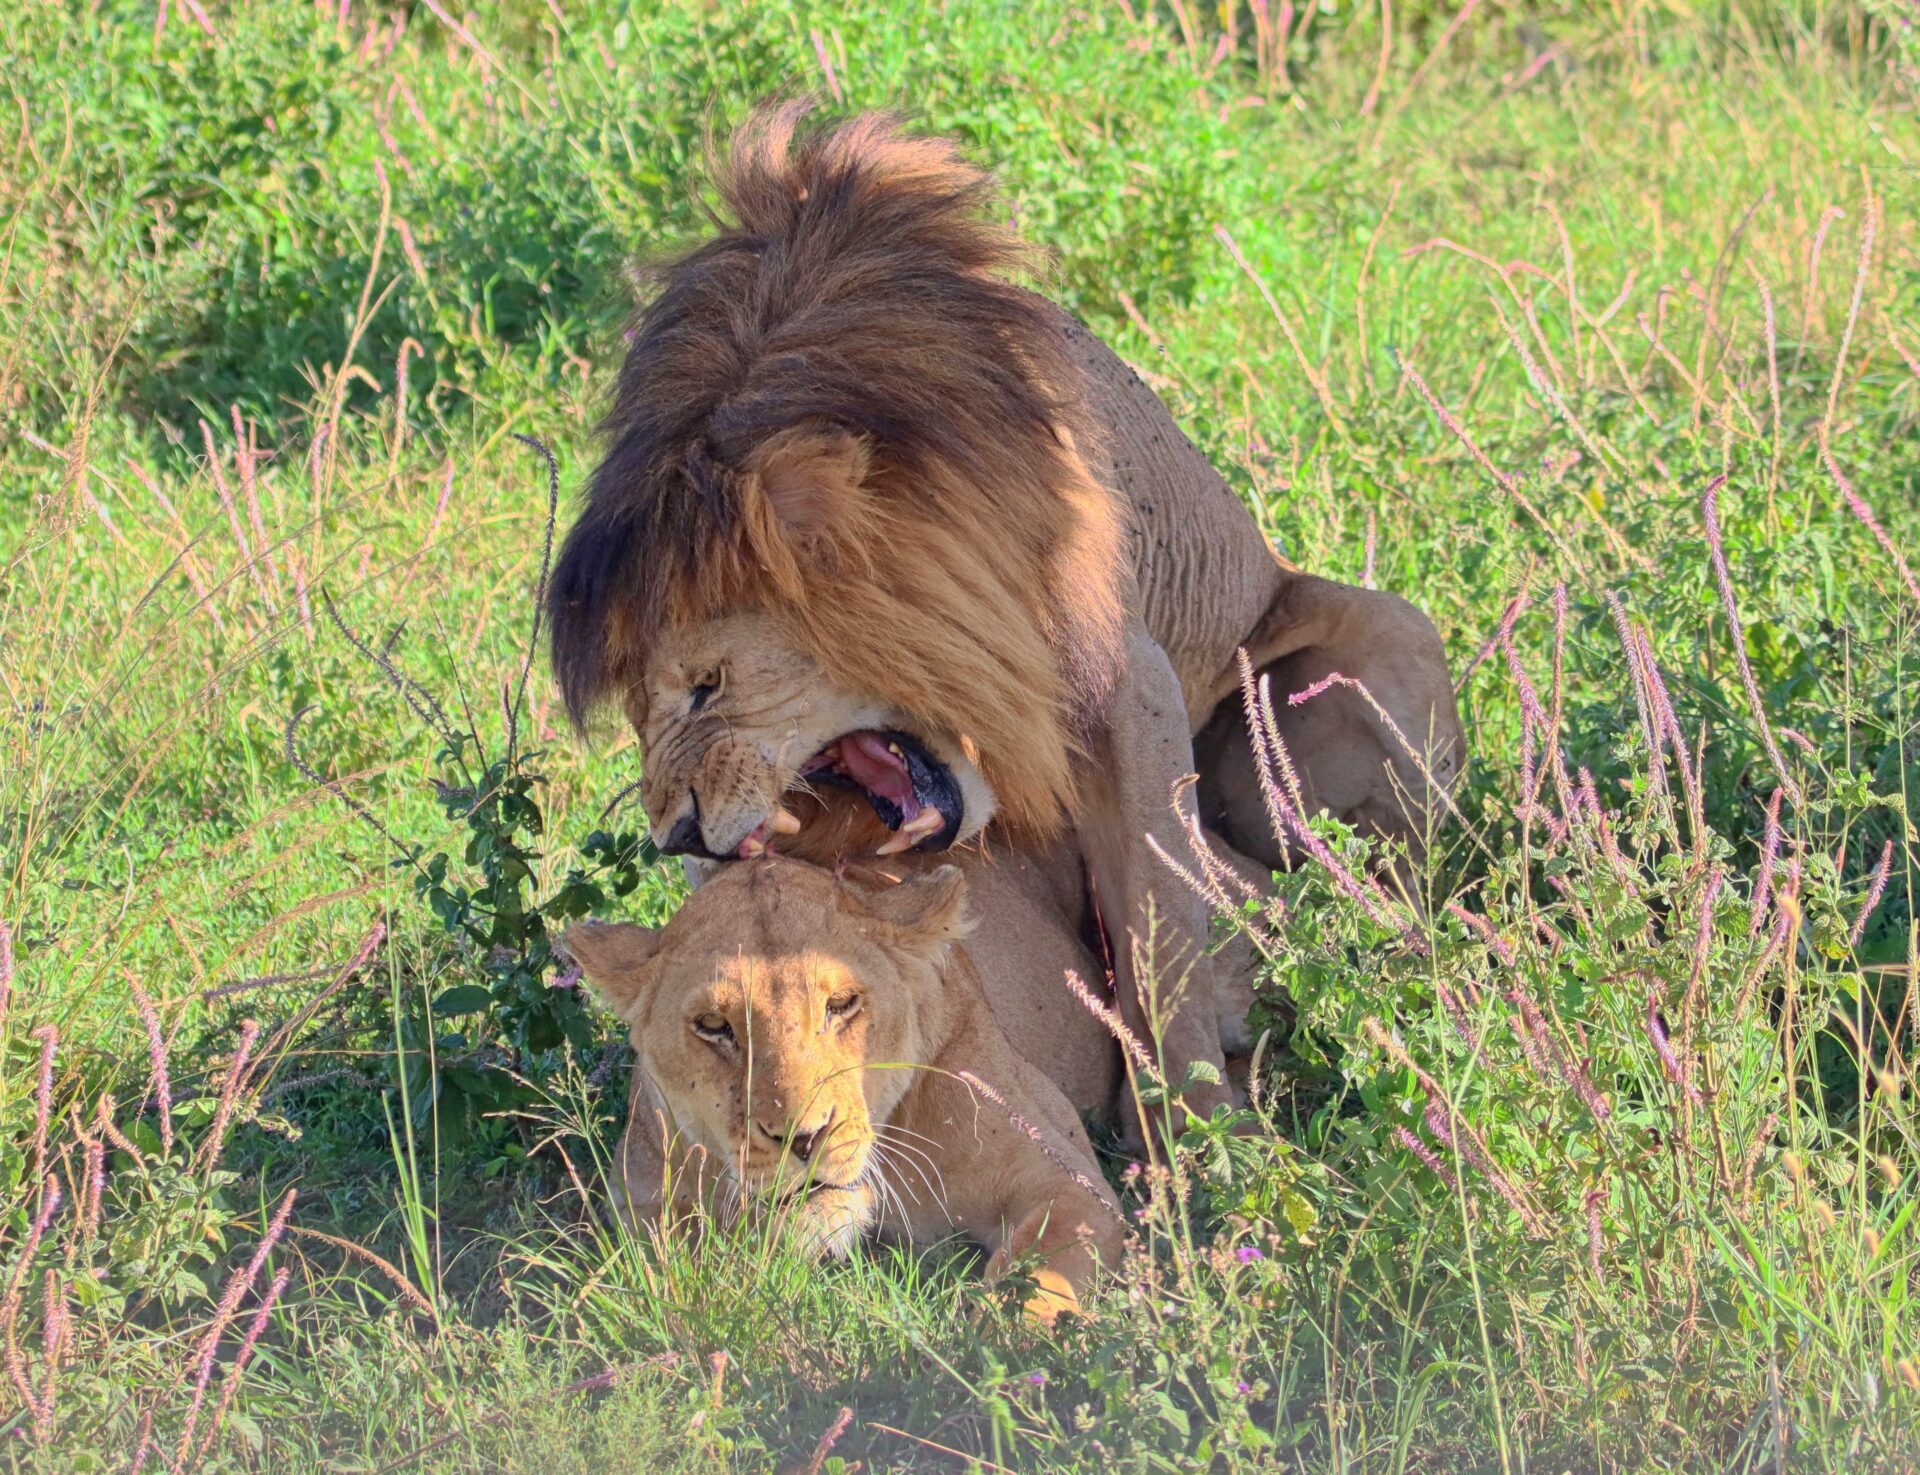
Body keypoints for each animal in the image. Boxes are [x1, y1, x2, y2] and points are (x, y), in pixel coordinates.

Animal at [549, 103, 1462, 1123]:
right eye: (637, 710)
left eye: (709, 684)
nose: (673, 833)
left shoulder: (1128, 683)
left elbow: (1161, 930)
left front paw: (1197, 1132)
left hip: (1389, 638)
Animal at [565, 849, 1246, 1323]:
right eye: (713, 1026)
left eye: (841, 1004)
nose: (803, 1139)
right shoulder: (637, 1200)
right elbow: (671, 1256)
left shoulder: (1068, 1184)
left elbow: (1036, 1282)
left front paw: (998, 1381)